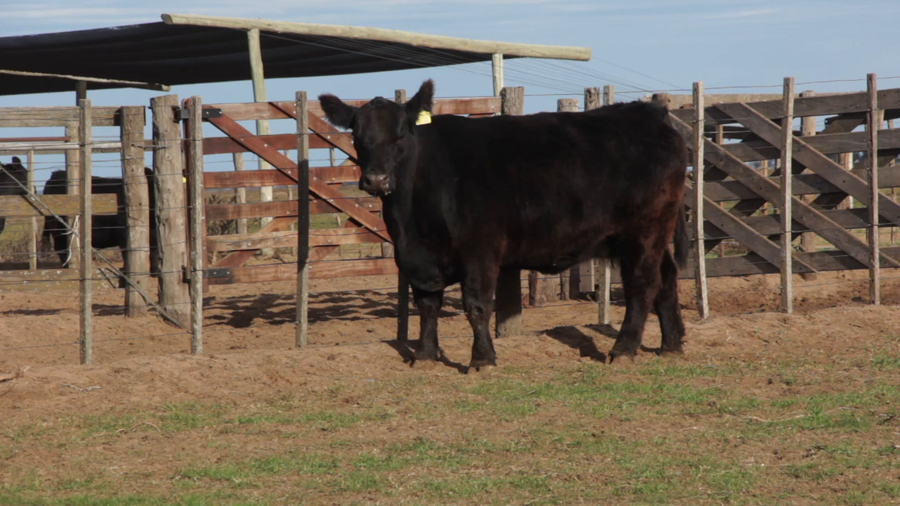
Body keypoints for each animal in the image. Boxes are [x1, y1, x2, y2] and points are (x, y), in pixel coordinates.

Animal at [319, 80, 689, 370]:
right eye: (357, 138)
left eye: (399, 137)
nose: (376, 180)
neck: (413, 219)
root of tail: (647, 113)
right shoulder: (415, 258)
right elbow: (426, 304)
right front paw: (423, 355)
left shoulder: (479, 249)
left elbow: (477, 305)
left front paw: (482, 359)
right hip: (653, 235)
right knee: (667, 277)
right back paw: (671, 344)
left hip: (643, 231)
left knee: (643, 284)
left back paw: (623, 349)